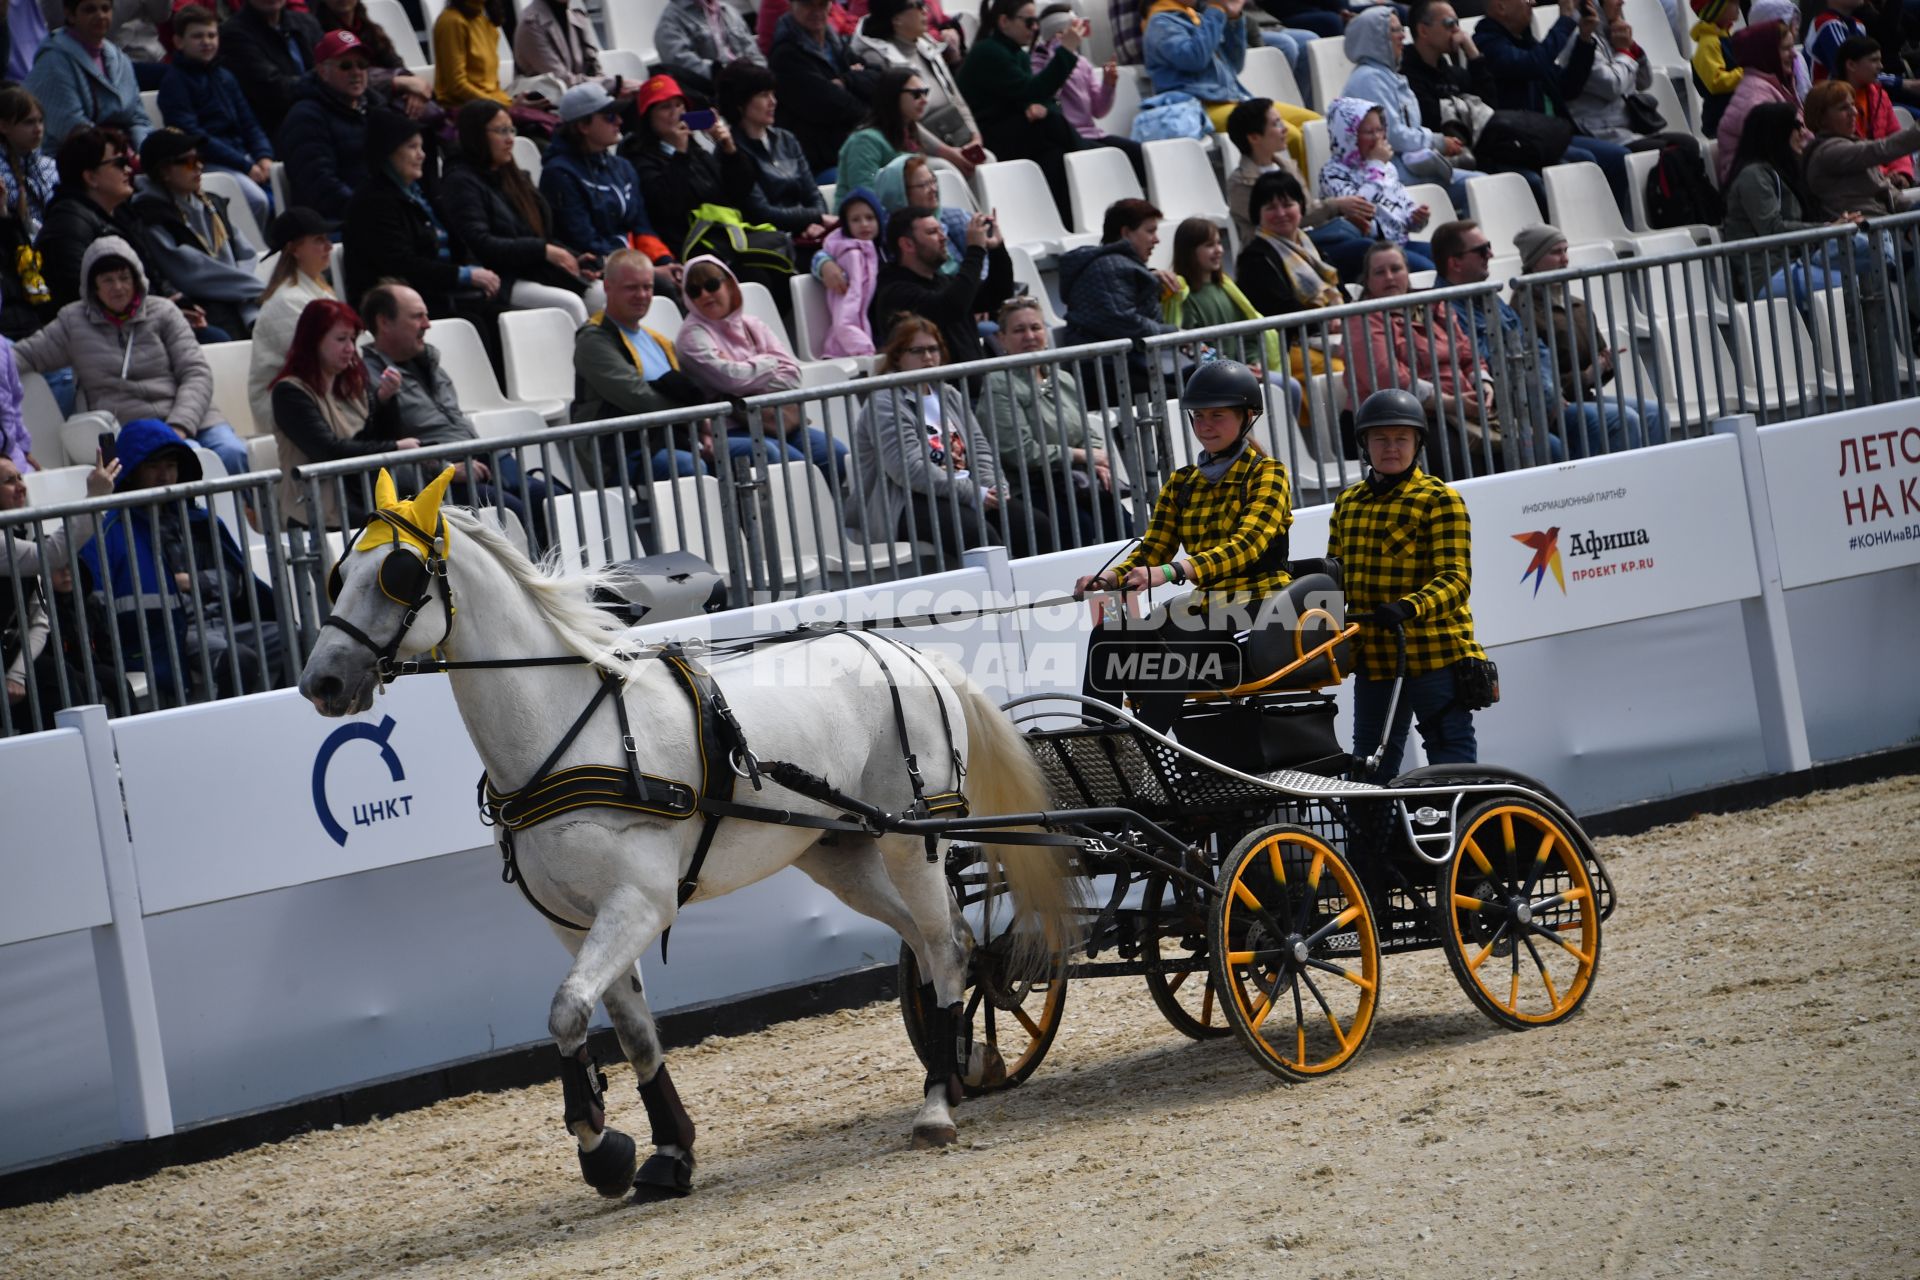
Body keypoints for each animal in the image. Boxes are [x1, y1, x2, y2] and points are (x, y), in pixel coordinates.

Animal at [297, 470, 1082, 1205]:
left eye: (398, 573)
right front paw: (665, 1153)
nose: (322, 682)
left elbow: (566, 1010)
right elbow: (627, 1029)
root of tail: (912, 655)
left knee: (948, 948)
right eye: (337, 575)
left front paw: (603, 1148)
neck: (568, 731)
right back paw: (963, 1066)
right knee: (938, 940)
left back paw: (938, 1104)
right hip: (844, 856)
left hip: (912, 839)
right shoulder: (570, 920)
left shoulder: (640, 902)